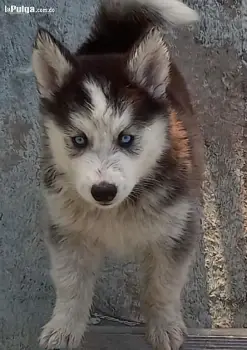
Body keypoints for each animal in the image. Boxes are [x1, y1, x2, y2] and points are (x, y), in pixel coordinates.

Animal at [33, 0, 205, 350]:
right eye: (78, 140)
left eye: (126, 138)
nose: (103, 191)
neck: (117, 210)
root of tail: (116, 39)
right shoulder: (67, 232)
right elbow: (70, 284)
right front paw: (63, 328)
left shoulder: (177, 230)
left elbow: (164, 285)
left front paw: (164, 326)